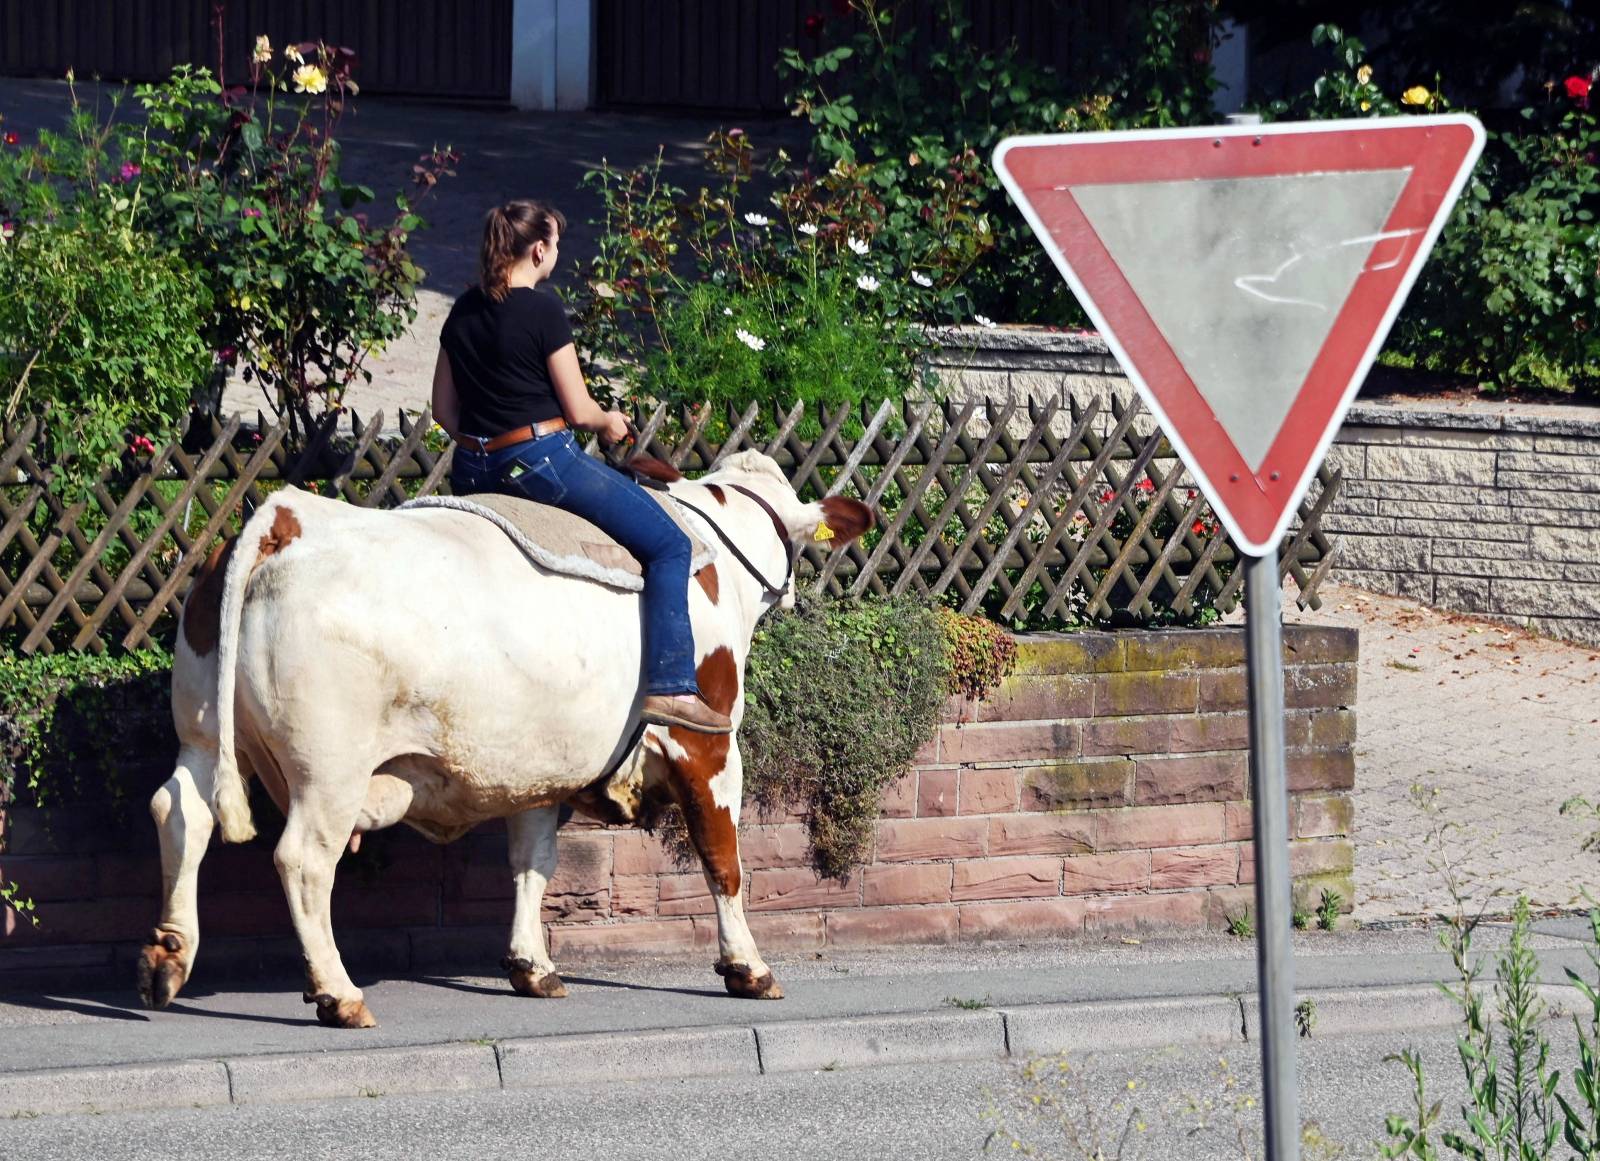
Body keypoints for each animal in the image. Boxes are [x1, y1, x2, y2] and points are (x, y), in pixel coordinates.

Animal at [137, 450, 876, 1029]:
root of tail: (290, 518)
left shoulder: (539, 762)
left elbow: (532, 861)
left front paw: (533, 965)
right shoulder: (709, 747)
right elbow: (723, 860)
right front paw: (748, 966)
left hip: (202, 733)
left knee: (180, 814)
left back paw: (169, 960)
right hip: (329, 770)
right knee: (303, 861)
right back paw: (338, 994)